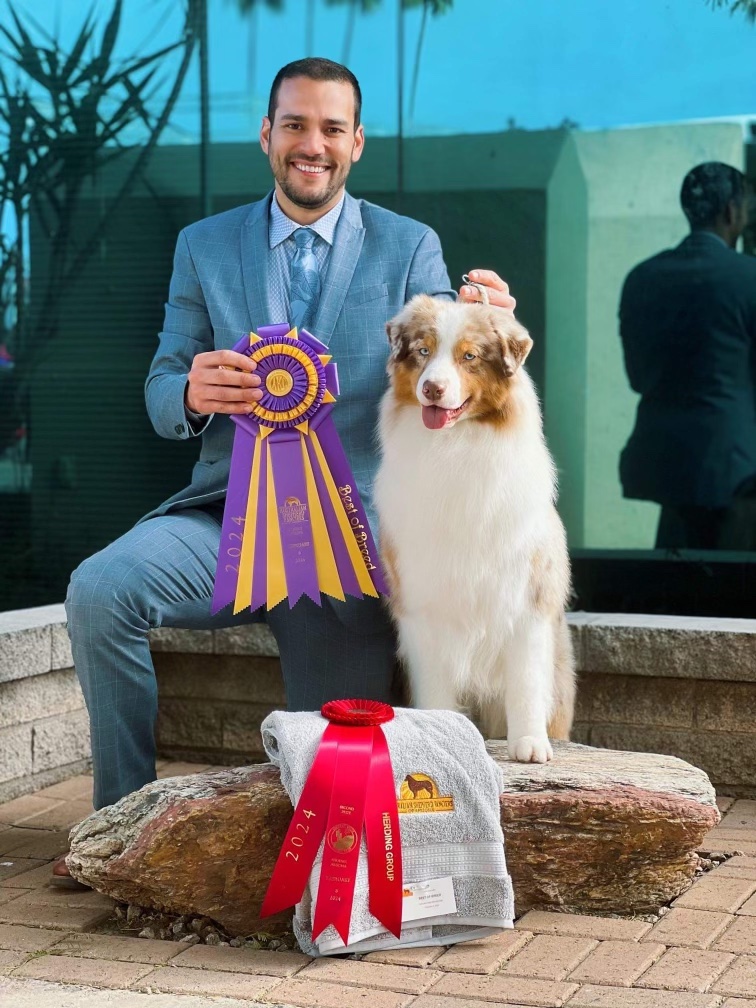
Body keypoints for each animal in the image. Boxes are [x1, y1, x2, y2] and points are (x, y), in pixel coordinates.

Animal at [374, 295, 575, 763]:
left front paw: (529, 745)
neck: (456, 446)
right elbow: (435, 688)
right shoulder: (422, 603)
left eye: (469, 357)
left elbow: (525, 682)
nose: (432, 388)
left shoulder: (527, 597)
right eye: (424, 351)